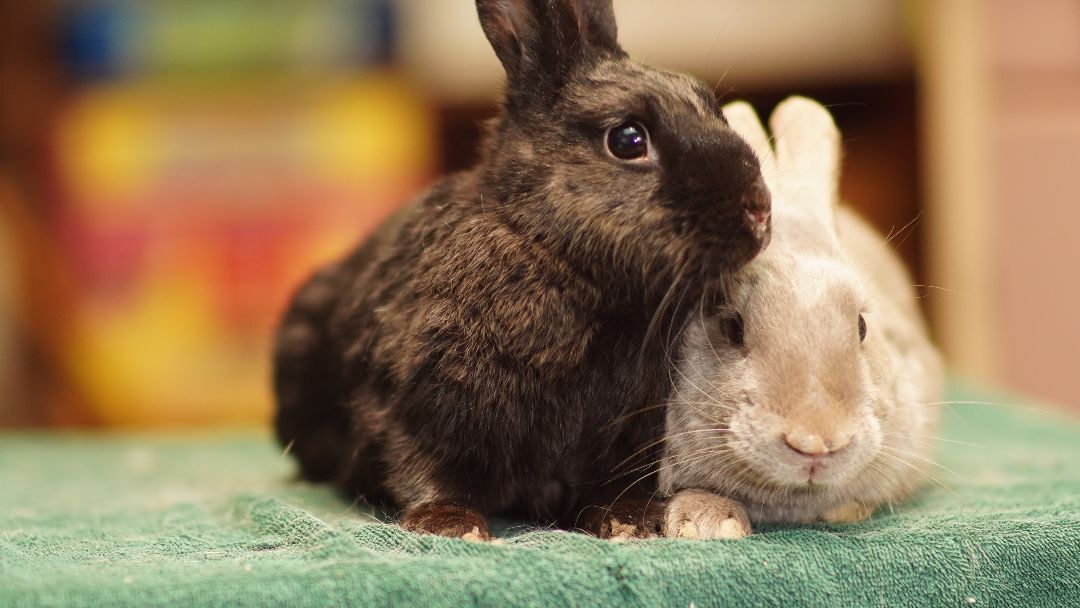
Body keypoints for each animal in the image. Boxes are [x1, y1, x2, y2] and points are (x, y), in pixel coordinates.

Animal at [273, 0, 773, 541]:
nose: (759, 210)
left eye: (712, 107)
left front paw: (629, 522)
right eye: (627, 139)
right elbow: (422, 465)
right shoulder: (412, 402)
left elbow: (609, 484)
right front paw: (452, 526)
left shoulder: (624, 436)